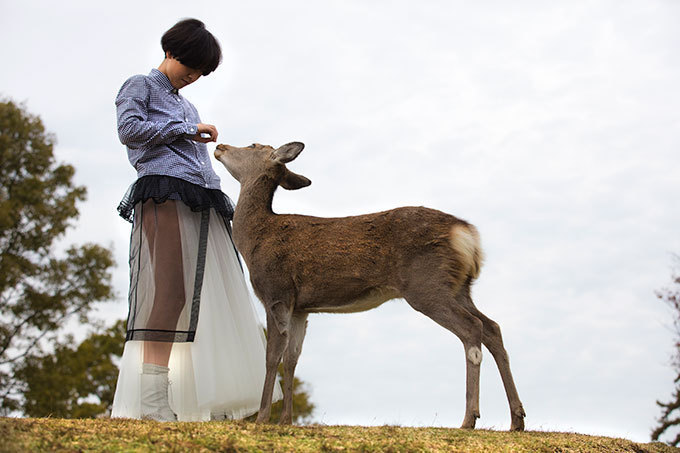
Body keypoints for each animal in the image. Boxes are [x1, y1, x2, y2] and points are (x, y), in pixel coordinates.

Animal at [212, 142, 524, 430]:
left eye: (252, 145)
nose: (220, 146)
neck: (254, 241)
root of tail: (467, 234)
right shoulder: (301, 307)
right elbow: (292, 359)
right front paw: (286, 420)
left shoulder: (276, 291)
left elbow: (271, 355)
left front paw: (263, 417)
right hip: (459, 287)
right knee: (492, 327)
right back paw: (516, 419)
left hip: (426, 285)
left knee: (472, 327)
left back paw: (470, 418)